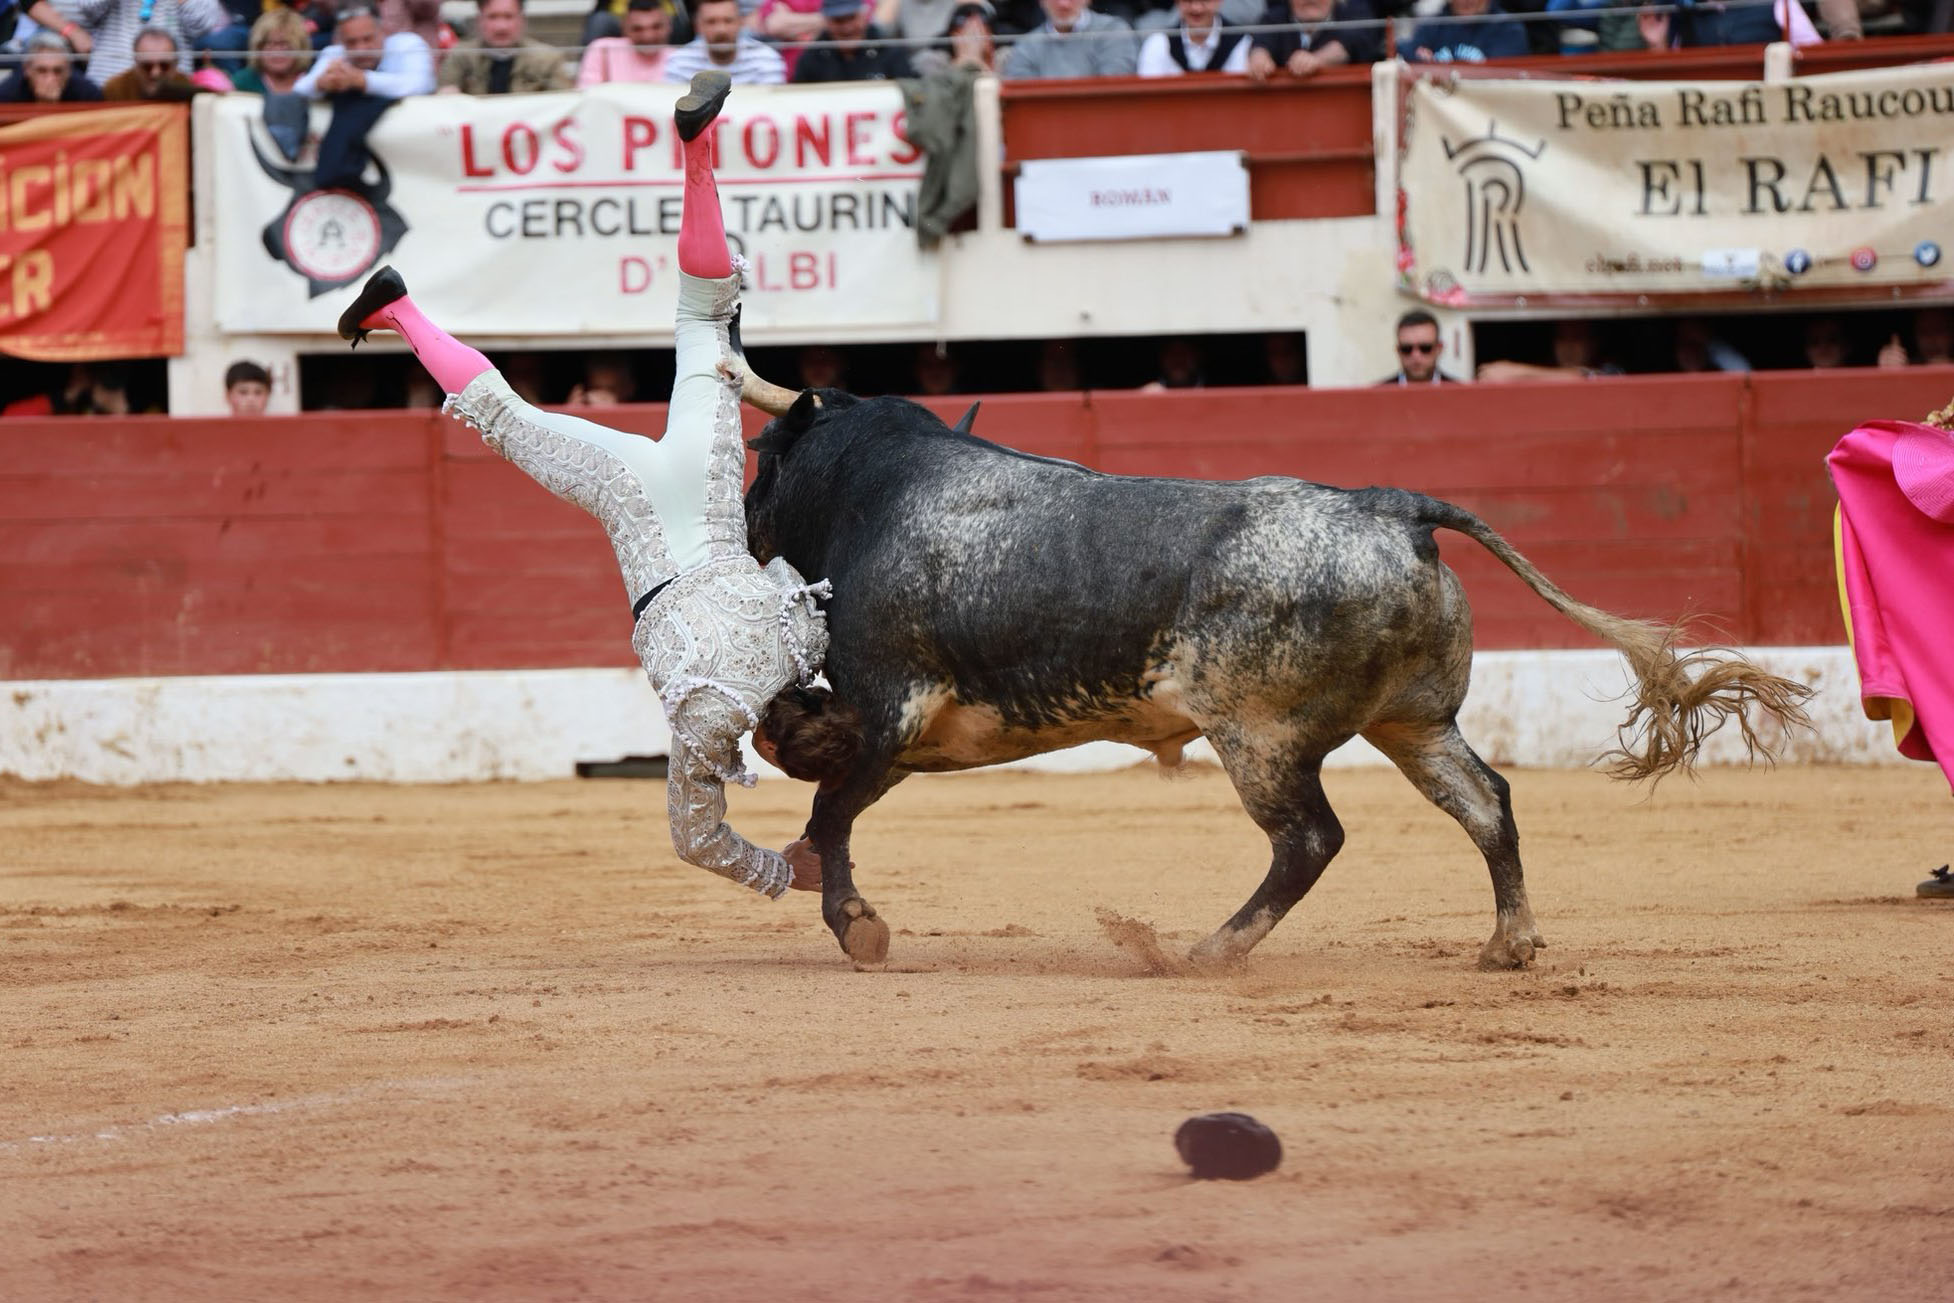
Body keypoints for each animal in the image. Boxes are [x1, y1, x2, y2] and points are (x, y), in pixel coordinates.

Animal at [734, 377, 1813, 968]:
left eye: (761, 459)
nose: (742, 523)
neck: (879, 488)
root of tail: (1392, 507)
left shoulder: (891, 707)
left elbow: (831, 809)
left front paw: (858, 927)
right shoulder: (910, 732)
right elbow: (817, 782)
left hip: (1258, 736)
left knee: (1310, 840)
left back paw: (1204, 952)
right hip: (1414, 721)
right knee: (1485, 802)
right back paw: (1508, 942)